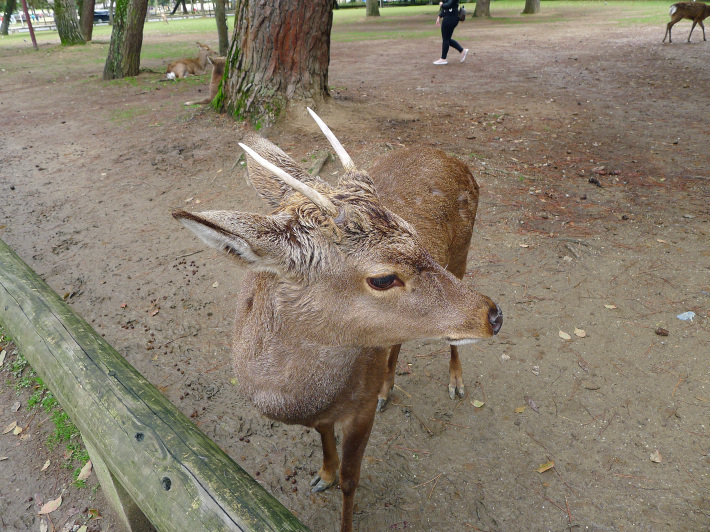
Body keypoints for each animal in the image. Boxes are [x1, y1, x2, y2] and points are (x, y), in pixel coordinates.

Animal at [175, 109, 504, 532]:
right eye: (383, 278)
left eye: (413, 232)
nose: (494, 315)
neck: (300, 398)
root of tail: (453, 158)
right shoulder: (323, 413)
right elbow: (324, 438)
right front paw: (323, 474)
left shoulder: (359, 410)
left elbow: (352, 480)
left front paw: (340, 492)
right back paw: (388, 388)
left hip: (463, 253)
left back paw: (455, 382)